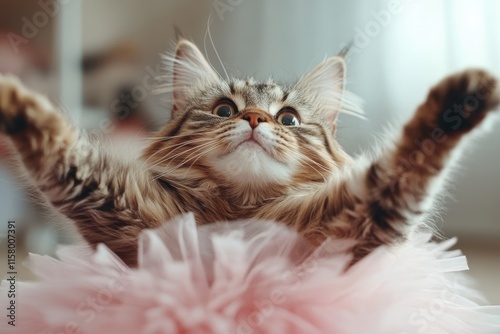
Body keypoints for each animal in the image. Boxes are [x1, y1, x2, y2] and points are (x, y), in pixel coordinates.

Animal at [0, 38, 498, 266]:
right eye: (225, 110)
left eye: (289, 120)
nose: (256, 119)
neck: (238, 214)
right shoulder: (123, 214)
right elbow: (63, 150)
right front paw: (16, 100)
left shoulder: (351, 226)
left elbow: (407, 161)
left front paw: (459, 102)